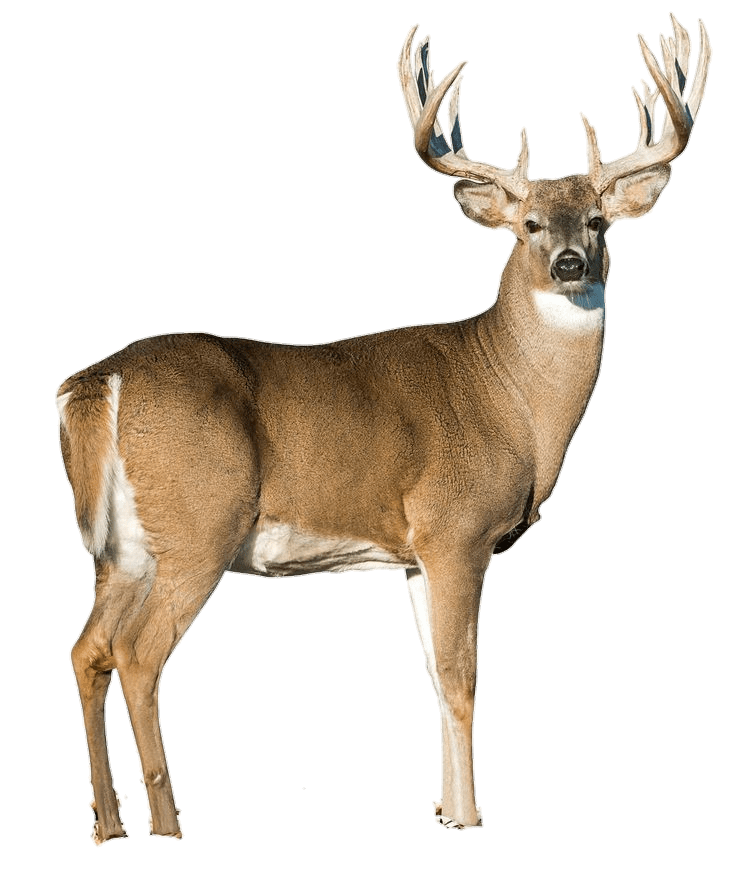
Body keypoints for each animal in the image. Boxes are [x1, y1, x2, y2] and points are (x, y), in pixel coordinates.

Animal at [56, 12, 711, 843]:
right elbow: (462, 677)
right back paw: (169, 827)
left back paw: (108, 822)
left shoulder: (413, 551)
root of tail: (96, 382)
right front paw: (470, 818)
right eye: (529, 224)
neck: (513, 398)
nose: (570, 263)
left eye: (596, 221)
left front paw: (443, 809)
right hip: (200, 521)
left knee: (88, 649)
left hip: (121, 547)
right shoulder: (456, 526)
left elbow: (434, 675)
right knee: (138, 655)